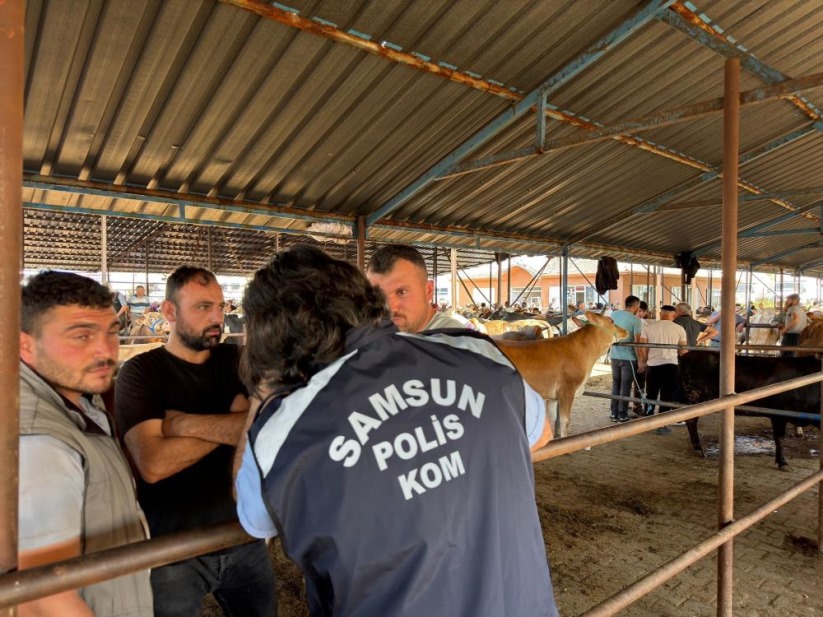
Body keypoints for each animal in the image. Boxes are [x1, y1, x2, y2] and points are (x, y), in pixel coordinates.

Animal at [496, 312, 624, 438]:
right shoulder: (567, 390)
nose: (625, 331)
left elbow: (551, 420)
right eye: (612, 321)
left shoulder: (553, 397)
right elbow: (565, 421)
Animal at [680, 348, 820, 470]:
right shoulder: (778, 414)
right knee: (691, 421)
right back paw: (698, 449)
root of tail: (687, 355)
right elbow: (780, 438)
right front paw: (783, 462)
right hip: (695, 396)